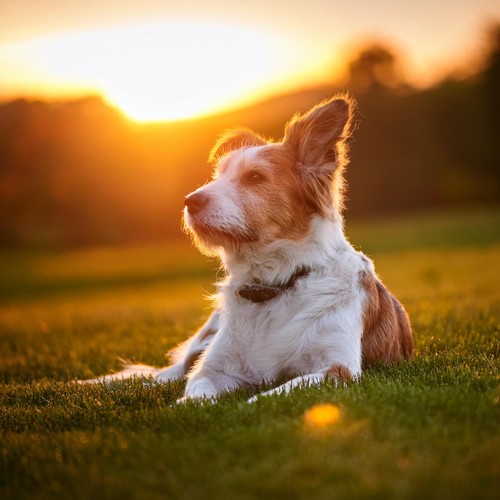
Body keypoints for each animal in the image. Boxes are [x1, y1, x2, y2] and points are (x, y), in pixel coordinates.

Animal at [85, 95, 414, 402]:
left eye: (255, 177)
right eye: (218, 176)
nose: (190, 201)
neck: (275, 283)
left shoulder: (337, 370)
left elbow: (273, 393)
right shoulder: (213, 369)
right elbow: (196, 393)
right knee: (160, 376)